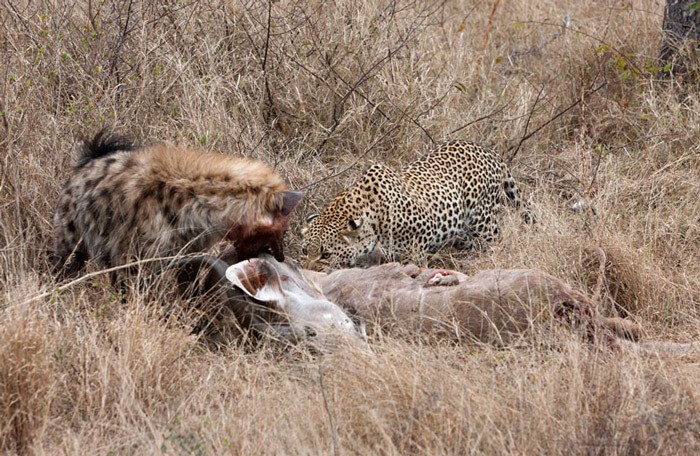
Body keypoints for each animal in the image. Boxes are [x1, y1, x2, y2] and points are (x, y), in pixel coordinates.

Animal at [298, 140, 532, 270]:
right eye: (304, 251)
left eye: (326, 255)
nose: (309, 272)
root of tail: (489, 152)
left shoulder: (421, 238)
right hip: (463, 231)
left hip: (483, 222)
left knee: (496, 241)